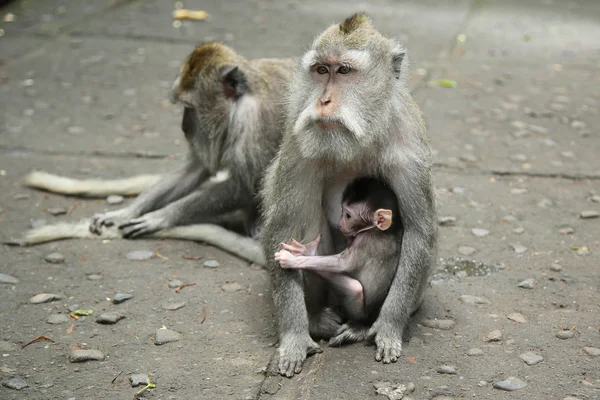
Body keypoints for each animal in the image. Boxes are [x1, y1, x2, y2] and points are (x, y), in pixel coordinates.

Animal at [274, 177, 400, 332]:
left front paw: (290, 260)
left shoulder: (366, 241)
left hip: (359, 311)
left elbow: (342, 264)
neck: (382, 230)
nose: (340, 224)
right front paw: (305, 252)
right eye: (343, 211)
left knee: (355, 288)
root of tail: (369, 319)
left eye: (348, 216)